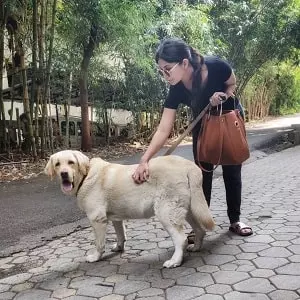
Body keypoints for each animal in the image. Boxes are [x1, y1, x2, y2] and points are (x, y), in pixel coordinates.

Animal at [44, 150, 214, 268]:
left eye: (71, 162)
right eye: (57, 164)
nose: (64, 174)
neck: (85, 176)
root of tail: (188, 165)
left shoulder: (97, 219)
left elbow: (99, 243)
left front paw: (96, 257)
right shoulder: (116, 218)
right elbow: (121, 234)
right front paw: (119, 247)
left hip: (166, 213)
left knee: (181, 239)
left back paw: (175, 261)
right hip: (189, 209)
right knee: (200, 230)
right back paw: (196, 247)